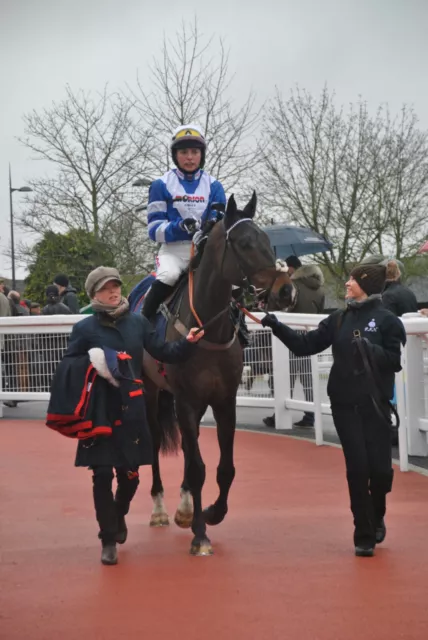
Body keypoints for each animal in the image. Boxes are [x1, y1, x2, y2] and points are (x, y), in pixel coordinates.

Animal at [144, 191, 294, 556]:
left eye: (268, 240)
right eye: (244, 243)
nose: (285, 290)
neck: (207, 329)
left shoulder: (224, 400)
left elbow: (225, 467)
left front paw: (211, 512)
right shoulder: (185, 400)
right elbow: (199, 468)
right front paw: (200, 535)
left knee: (188, 447)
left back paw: (185, 507)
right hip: (151, 392)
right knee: (155, 442)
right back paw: (160, 509)